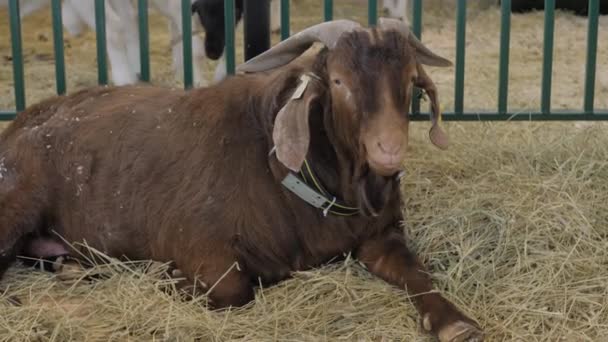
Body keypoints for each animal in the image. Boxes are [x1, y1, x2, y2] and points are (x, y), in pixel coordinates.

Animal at [0, 19, 484, 342]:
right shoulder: (201, 243)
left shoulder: (378, 234)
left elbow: (415, 270)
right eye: (339, 81)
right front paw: (165, 277)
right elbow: (233, 289)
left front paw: (455, 321)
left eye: (410, 81)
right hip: (17, 203)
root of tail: (21, 122)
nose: (389, 151)